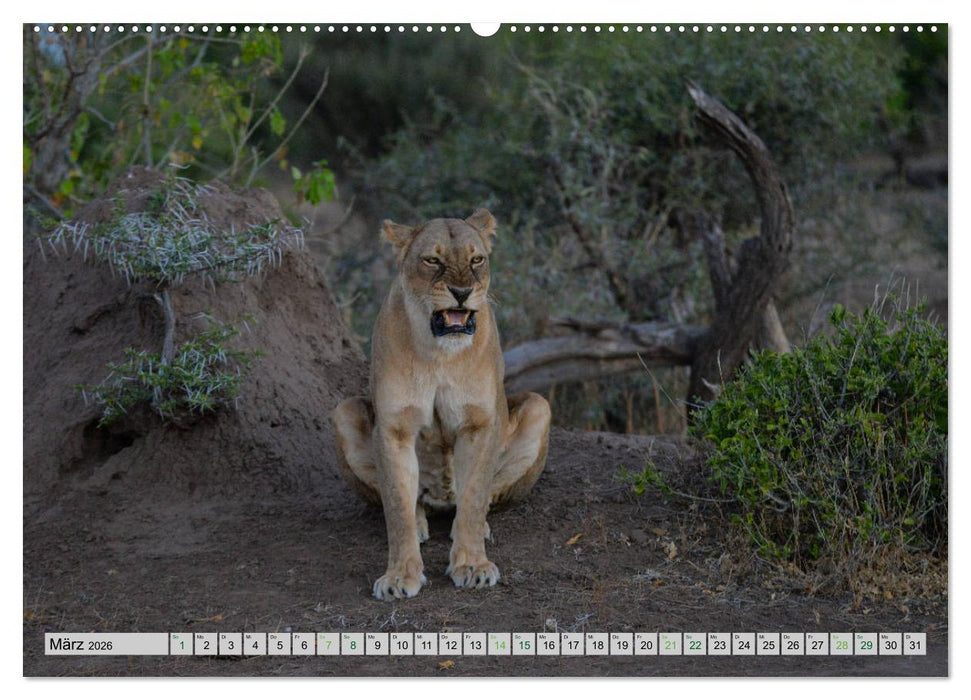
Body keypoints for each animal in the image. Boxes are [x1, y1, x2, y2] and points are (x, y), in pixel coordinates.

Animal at [332, 209, 551, 601]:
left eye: (476, 259)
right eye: (432, 260)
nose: (462, 293)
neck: (440, 355)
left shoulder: (480, 423)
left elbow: (476, 495)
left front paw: (473, 566)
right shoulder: (394, 428)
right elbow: (397, 506)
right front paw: (400, 575)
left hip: (540, 406)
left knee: (479, 498)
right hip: (344, 412)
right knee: (410, 500)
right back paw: (421, 521)